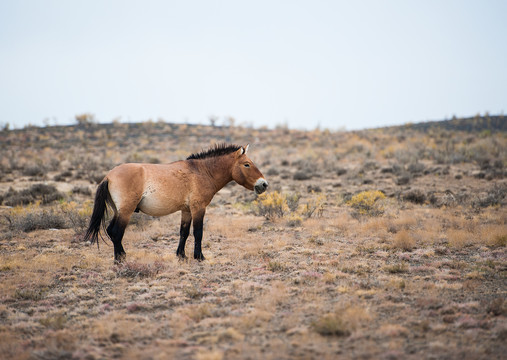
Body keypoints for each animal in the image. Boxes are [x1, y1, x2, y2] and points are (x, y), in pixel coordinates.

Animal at [83, 142, 268, 262]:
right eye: (247, 164)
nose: (263, 184)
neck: (202, 171)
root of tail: (108, 176)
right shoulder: (198, 208)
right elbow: (198, 232)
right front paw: (199, 257)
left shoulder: (186, 210)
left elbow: (183, 233)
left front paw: (181, 256)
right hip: (126, 211)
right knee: (116, 232)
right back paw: (120, 259)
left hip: (118, 211)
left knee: (111, 231)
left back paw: (121, 256)